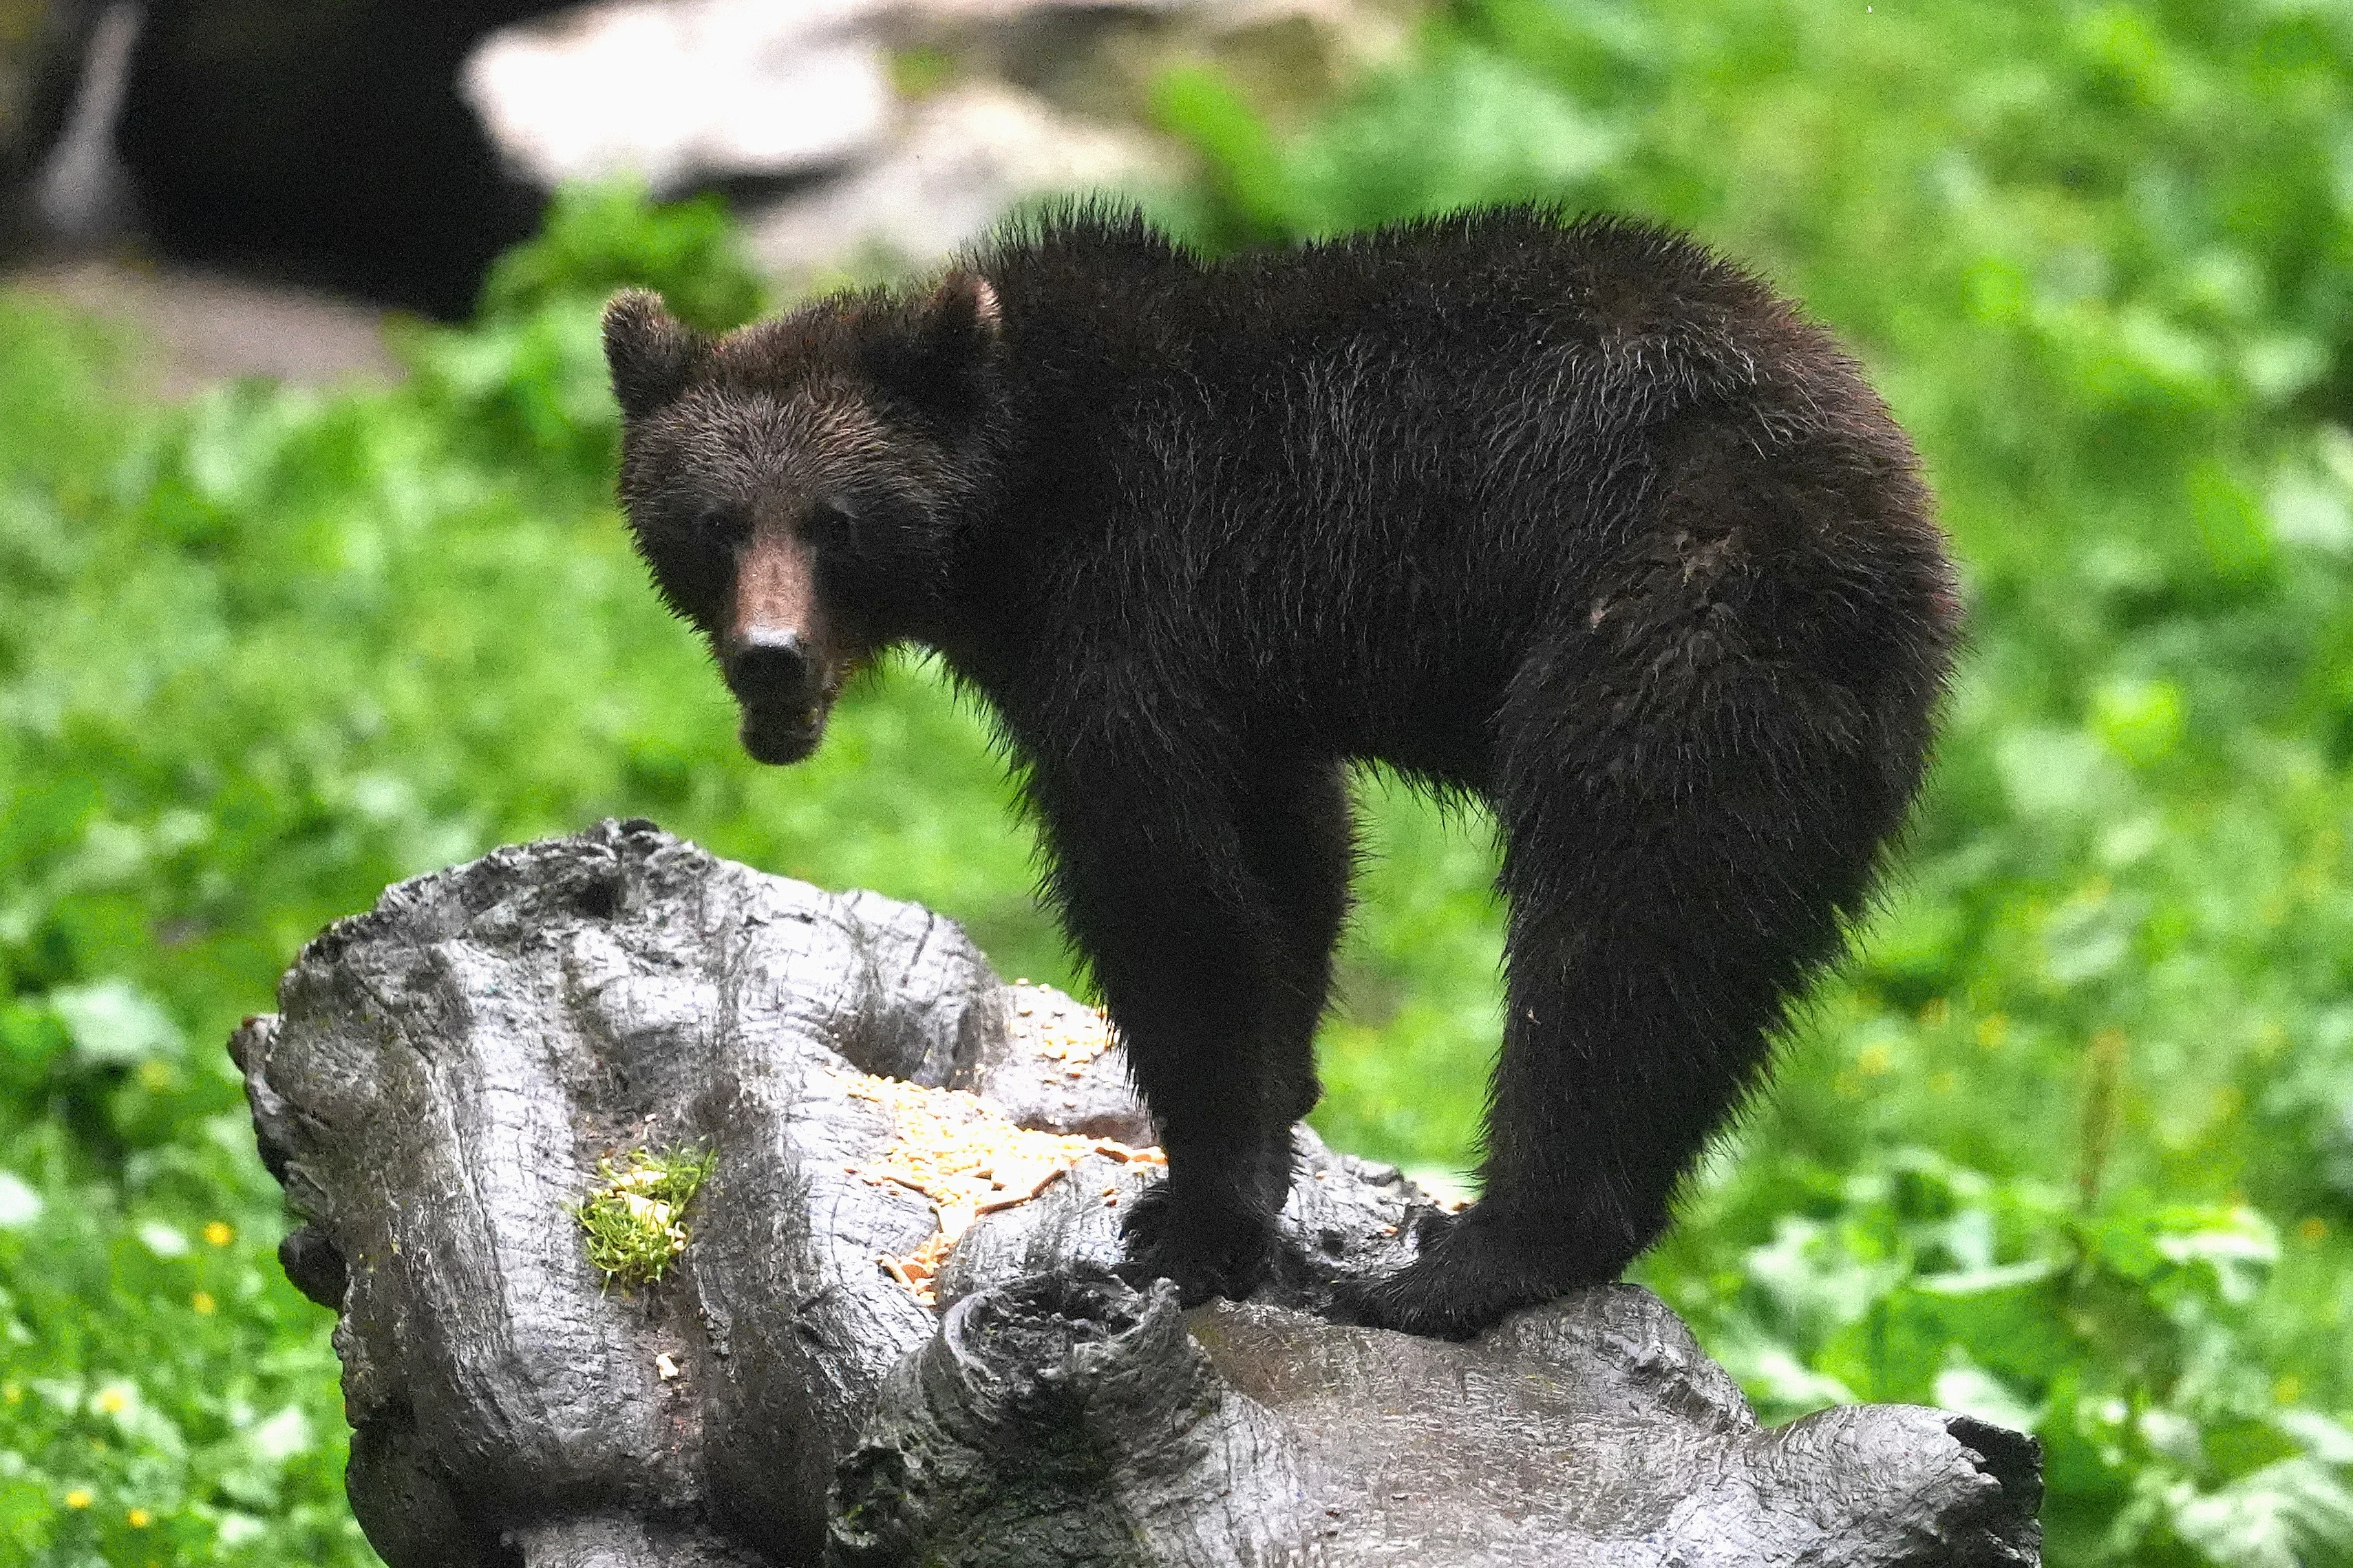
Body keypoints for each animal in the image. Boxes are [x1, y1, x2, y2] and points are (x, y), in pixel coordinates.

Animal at [601, 205, 1959, 1339]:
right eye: (715, 524)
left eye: (834, 522)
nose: (771, 657)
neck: (1013, 507)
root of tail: (1898, 522)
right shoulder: (1243, 677)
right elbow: (1289, 859)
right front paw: (1251, 1135)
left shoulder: (1134, 602)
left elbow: (1168, 898)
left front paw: (1193, 1225)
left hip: (1666, 634)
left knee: (1620, 933)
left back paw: (1463, 1259)